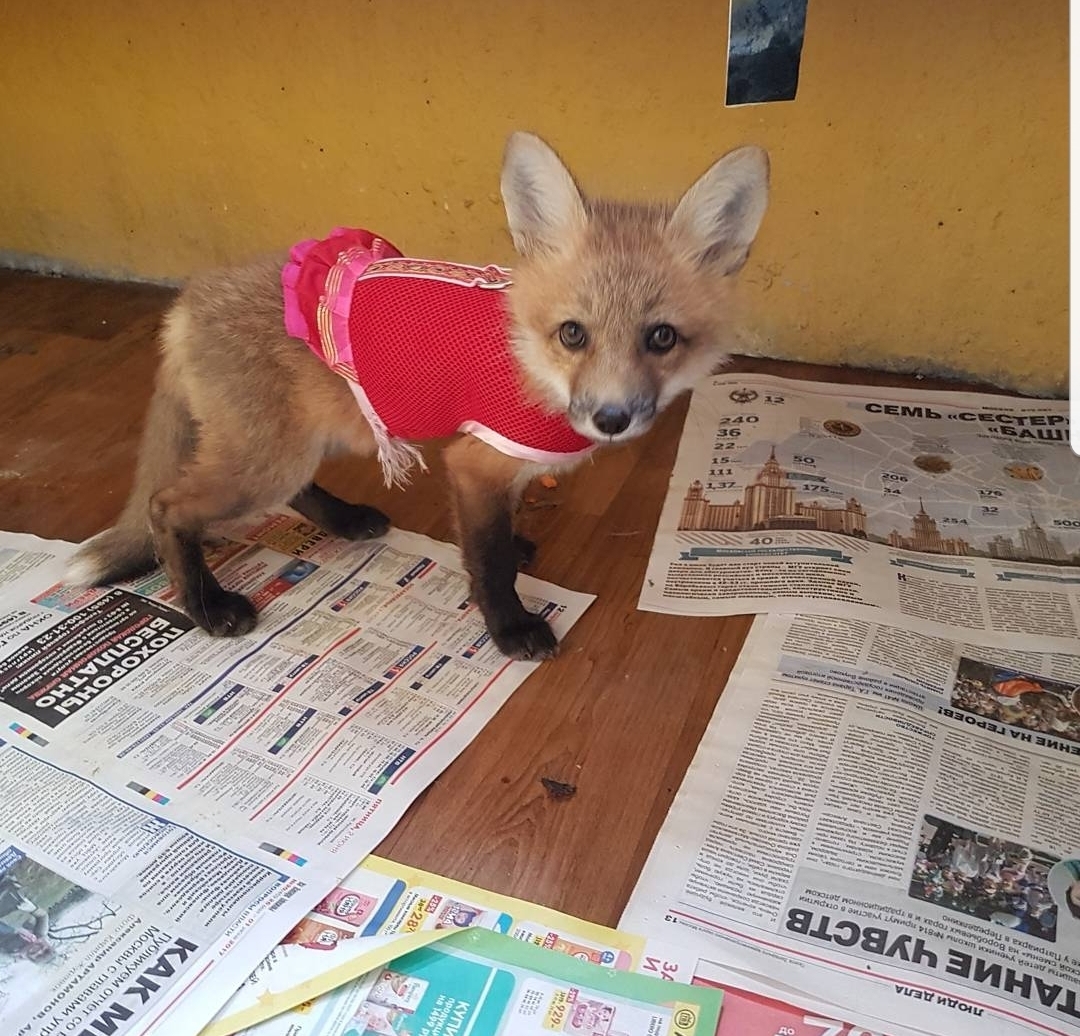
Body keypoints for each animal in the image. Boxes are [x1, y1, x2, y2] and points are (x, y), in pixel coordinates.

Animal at [65, 133, 768, 661]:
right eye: (574, 333)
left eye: (661, 337)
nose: (612, 418)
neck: (527, 357)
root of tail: (187, 301)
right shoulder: (475, 460)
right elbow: (489, 560)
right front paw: (509, 627)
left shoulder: (500, 465)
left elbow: (498, 534)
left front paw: (512, 552)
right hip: (265, 463)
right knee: (165, 507)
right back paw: (206, 606)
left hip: (306, 441)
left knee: (291, 491)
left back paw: (345, 520)